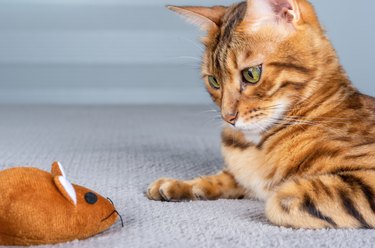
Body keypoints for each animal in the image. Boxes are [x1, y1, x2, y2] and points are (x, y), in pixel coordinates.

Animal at [146, 0, 375, 229]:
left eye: (251, 74)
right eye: (214, 81)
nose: (227, 117)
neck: (254, 145)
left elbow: (278, 201)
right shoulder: (240, 175)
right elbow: (221, 179)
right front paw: (179, 185)